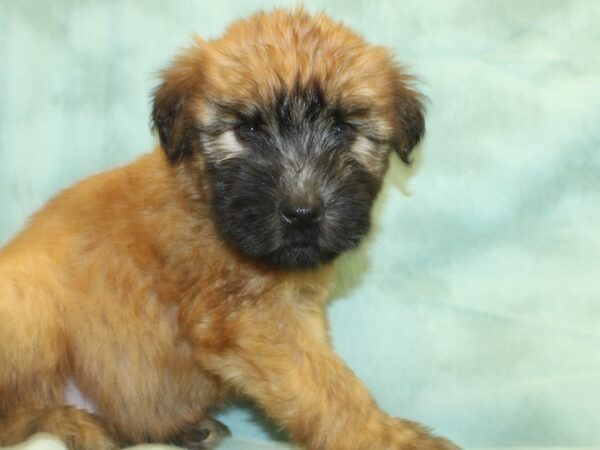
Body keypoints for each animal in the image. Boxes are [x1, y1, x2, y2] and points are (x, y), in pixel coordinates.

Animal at [0, 7, 460, 450]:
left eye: (343, 129)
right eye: (248, 130)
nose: (302, 212)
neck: (203, 200)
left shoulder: (295, 312)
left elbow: (324, 378)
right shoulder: (249, 320)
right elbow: (329, 388)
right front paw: (389, 437)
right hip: (28, 303)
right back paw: (74, 424)